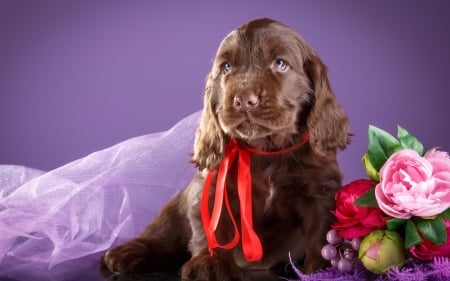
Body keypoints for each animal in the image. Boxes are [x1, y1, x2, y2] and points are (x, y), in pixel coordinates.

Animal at [103, 18, 352, 280]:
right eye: (226, 67)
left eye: (280, 63)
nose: (243, 100)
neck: (265, 150)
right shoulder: (212, 187)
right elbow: (213, 229)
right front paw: (209, 263)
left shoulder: (320, 190)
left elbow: (321, 234)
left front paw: (323, 270)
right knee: (163, 233)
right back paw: (127, 252)